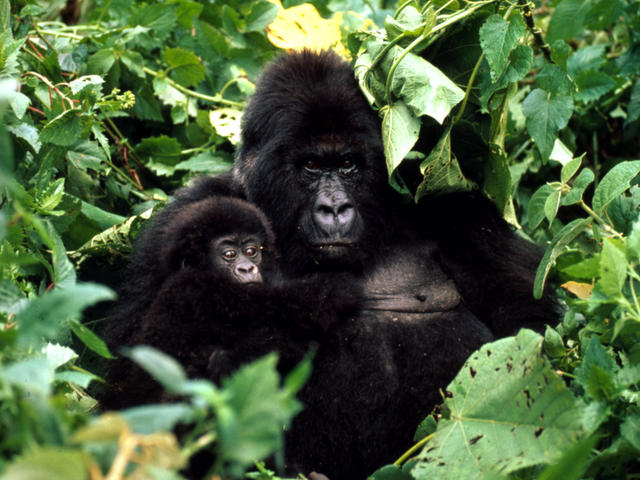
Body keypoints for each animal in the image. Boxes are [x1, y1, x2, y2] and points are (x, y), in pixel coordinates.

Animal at [107, 197, 362, 406]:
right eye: (229, 255)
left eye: (251, 251)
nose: (247, 269)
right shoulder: (197, 288)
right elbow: (281, 308)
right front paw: (334, 288)